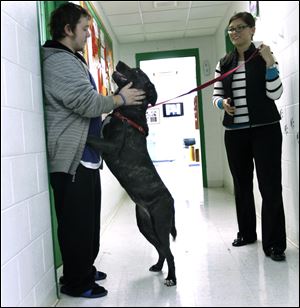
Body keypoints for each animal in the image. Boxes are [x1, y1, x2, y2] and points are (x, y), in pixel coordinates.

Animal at [86, 60, 177, 286]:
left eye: (136, 71)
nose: (118, 63)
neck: (127, 111)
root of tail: (171, 201)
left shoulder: (111, 146)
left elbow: (90, 138)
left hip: (161, 223)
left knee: (169, 252)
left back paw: (171, 278)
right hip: (145, 226)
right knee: (161, 250)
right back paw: (158, 267)